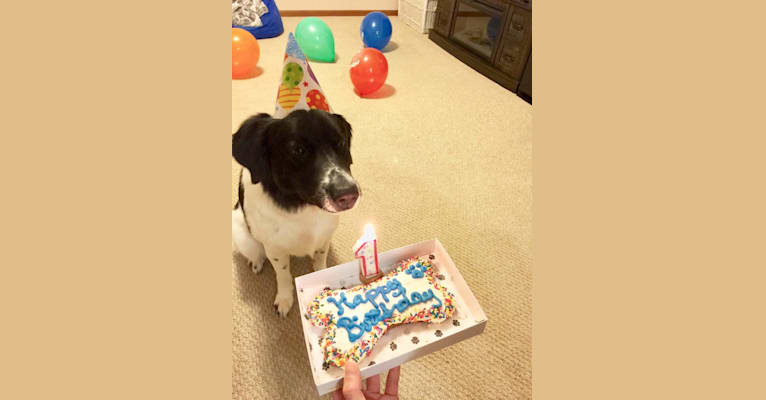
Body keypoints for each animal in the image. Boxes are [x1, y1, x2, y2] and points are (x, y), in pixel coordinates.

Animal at [232, 108, 362, 316]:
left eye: (340, 142)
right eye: (298, 150)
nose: (348, 195)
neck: (302, 206)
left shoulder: (324, 238)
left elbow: (320, 262)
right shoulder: (275, 249)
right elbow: (283, 274)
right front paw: (285, 298)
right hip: (242, 235)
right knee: (254, 252)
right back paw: (256, 262)